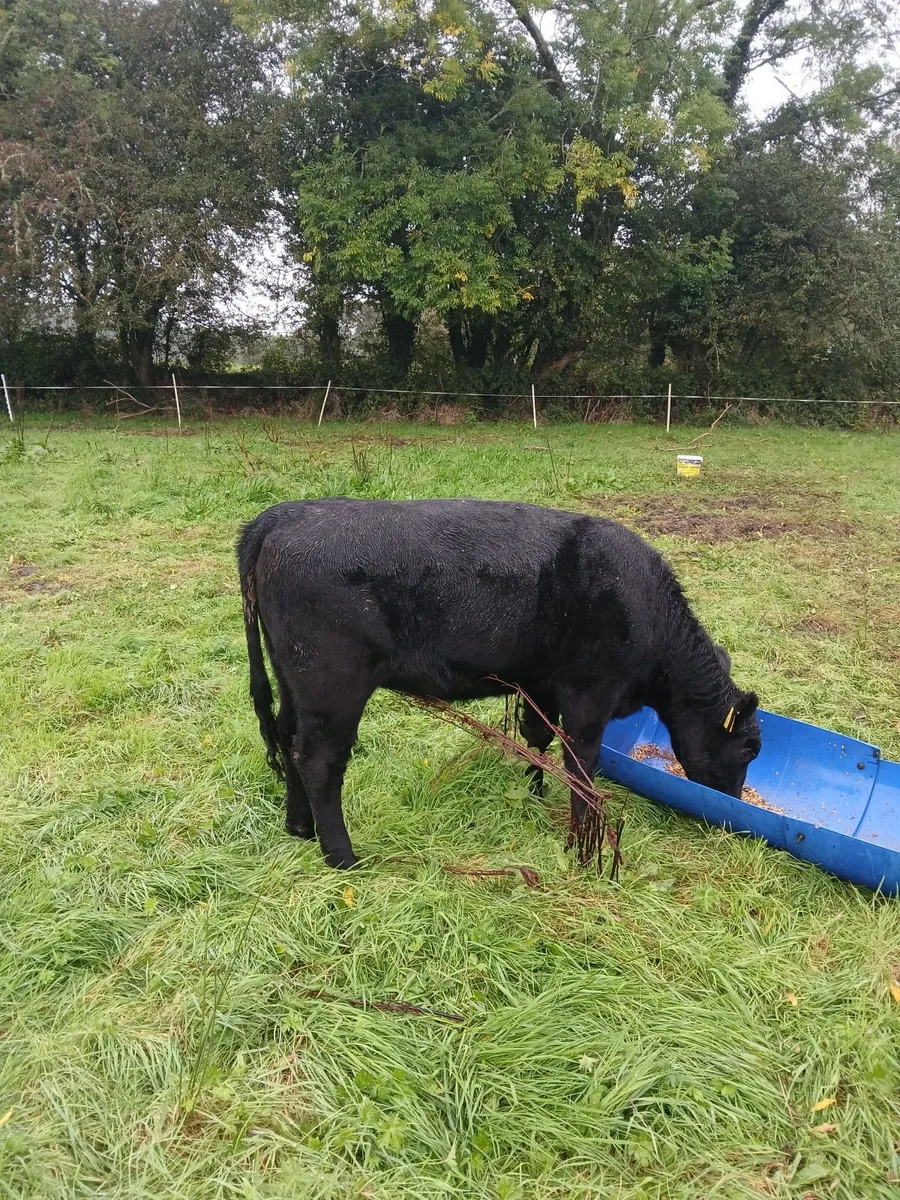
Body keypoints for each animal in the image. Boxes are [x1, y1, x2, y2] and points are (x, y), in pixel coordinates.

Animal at [237, 498, 761, 869]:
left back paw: (299, 826)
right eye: (748, 750)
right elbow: (581, 766)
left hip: (293, 682)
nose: (734, 809)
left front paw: (533, 792)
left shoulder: (541, 684)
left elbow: (538, 737)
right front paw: (582, 846)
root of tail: (283, 515)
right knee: (319, 760)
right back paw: (343, 858)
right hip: (333, 688)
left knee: (286, 738)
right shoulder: (590, 695)